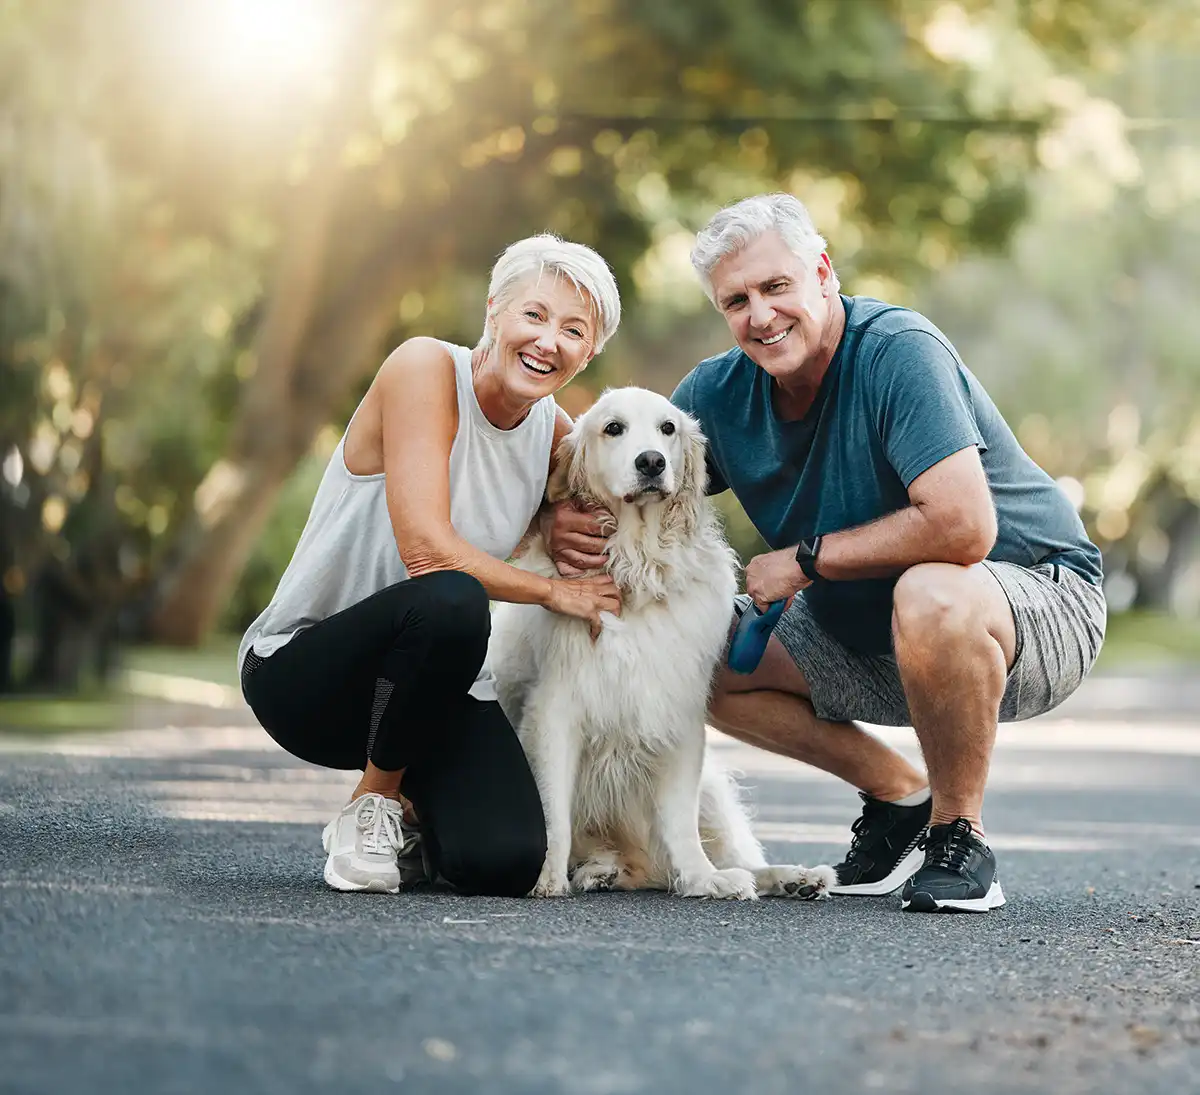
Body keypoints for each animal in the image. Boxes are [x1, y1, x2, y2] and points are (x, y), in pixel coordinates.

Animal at [487, 389, 835, 902]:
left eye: (667, 428)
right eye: (613, 428)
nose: (651, 461)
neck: (639, 567)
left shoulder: (678, 715)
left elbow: (680, 823)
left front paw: (702, 878)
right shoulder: (554, 713)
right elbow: (553, 814)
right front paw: (546, 877)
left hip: (712, 791)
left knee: (733, 857)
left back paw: (791, 877)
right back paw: (599, 868)